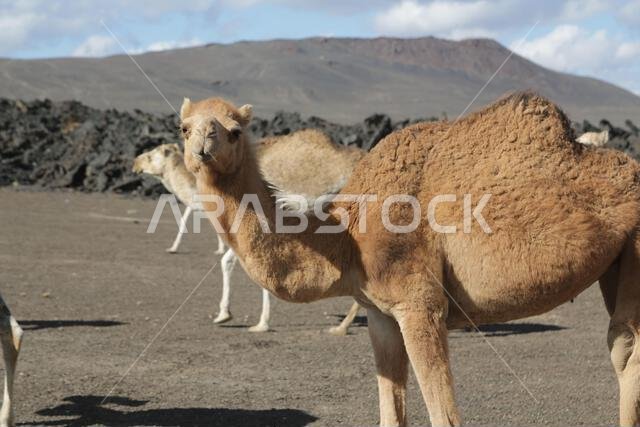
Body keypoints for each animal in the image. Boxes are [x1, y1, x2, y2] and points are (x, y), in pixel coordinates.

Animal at [134, 132, 365, 333]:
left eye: (151, 155)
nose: (135, 164)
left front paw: (258, 323)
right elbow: (229, 260)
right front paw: (226, 315)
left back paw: (342, 326)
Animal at [181, 92, 640, 426]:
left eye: (234, 131)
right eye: (184, 128)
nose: (203, 147)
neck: (347, 236)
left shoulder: (420, 305)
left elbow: (445, 416)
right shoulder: (381, 315)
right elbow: (391, 411)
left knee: (624, 348)